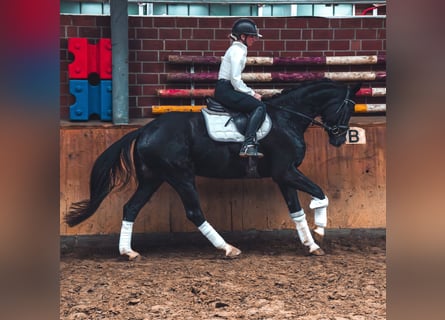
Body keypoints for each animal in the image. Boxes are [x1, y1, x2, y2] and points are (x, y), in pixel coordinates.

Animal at [66, 78, 360, 260]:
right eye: (348, 108)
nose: (338, 139)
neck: (287, 118)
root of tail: (145, 129)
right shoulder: (285, 172)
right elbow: (320, 194)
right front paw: (320, 229)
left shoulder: (283, 177)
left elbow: (296, 211)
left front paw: (311, 244)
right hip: (181, 176)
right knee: (194, 212)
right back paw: (228, 248)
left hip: (153, 178)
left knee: (131, 208)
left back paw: (128, 252)